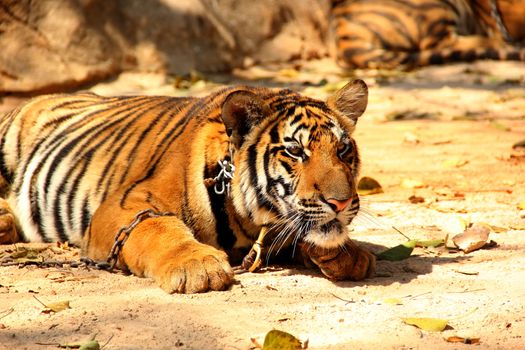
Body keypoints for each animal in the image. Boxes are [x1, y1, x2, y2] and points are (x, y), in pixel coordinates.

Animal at [0, 80, 374, 294]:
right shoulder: (123, 204)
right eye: (295, 151)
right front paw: (196, 265)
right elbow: (156, 227)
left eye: (343, 149)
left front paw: (350, 254)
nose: (341, 203)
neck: (250, 220)